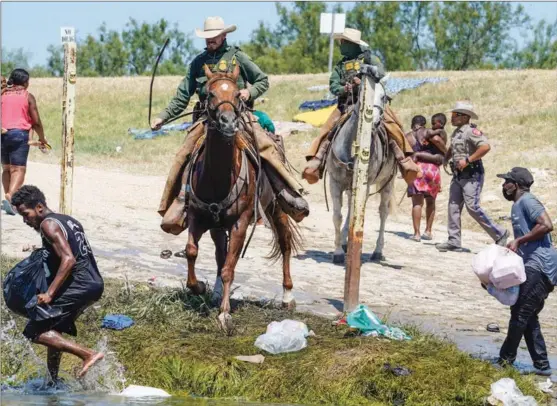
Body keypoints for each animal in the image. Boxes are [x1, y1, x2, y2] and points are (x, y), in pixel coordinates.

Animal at [182, 62, 300, 330]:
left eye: (237, 94)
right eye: (210, 93)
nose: (227, 122)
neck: (217, 178)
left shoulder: (241, 223)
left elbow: (229, 268)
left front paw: (225, 314)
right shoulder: (196, 216)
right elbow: (192, 251)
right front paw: (199, 287)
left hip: (277, 208)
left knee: (285, 244)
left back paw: (287, 295)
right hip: (217, 226)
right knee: (219, 253)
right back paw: (216, 291)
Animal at [324, 67, 398, 264]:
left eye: (384, 97)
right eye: (363, 94)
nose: (375, 122)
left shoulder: (366, 184)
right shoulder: (335, 182)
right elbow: (337, 216)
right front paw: (338, 252)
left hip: (387, 183)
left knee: (383, 212)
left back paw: (377, 251)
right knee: (351, 208)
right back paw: (344, 241)